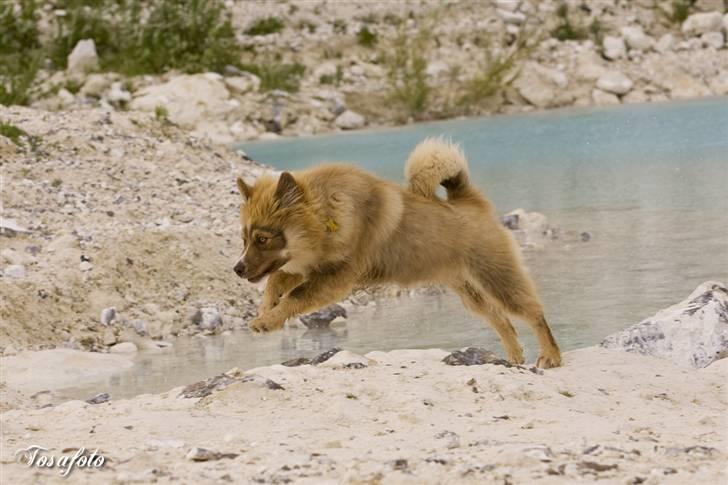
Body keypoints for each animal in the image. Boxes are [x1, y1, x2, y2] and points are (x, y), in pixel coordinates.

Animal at [233, 138, 564, 368]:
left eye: (262, 238)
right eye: (244, 238)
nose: (237, 268)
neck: (327, 214)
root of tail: (470, 203)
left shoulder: (335, 278)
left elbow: (295, 296)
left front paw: (267, 321)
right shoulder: (309, 267)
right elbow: (276, 281)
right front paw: (266, 309)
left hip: (497, 278)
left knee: (532, 313)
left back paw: (550, 355)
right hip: (469, 290)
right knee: (501, 319)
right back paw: (515, 355)